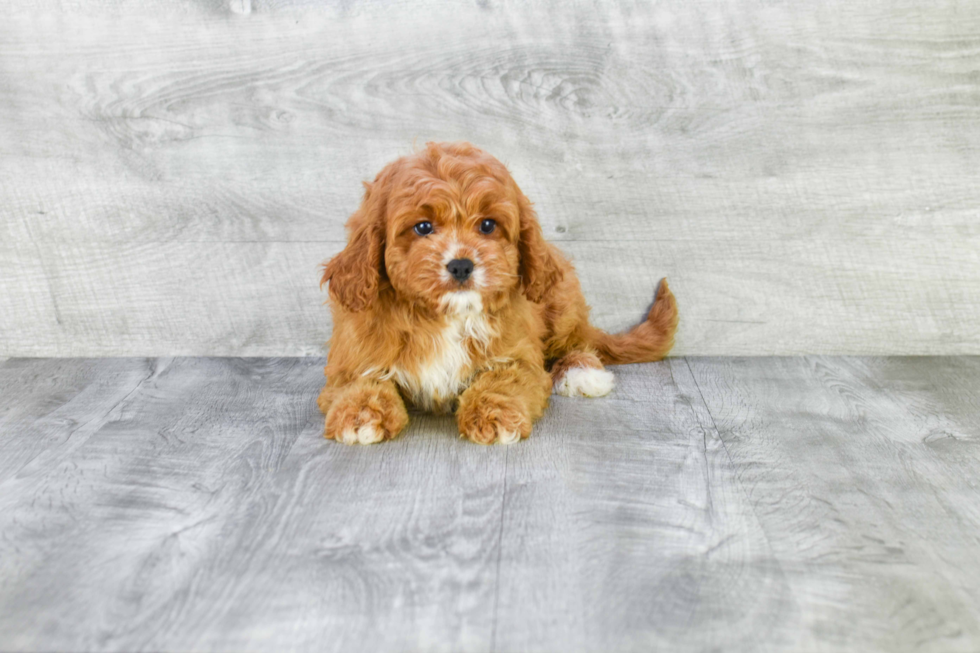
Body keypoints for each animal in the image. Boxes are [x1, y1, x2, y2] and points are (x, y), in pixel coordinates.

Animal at [318, 139, 676, 444]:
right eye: (423, 227)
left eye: (487, 225)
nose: (461, 265)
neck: (445, 317)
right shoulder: (354, 354)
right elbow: (359, 380)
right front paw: (361, 415)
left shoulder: (517, 354)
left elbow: (504, 379)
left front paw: (494, 413)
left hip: (559, 302)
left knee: (578, 340)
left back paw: (581, 371)